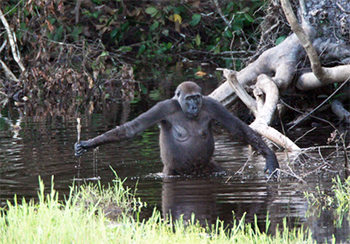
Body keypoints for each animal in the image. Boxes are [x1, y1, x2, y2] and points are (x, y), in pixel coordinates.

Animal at [75, 81, 280, 175]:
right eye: (189, 99)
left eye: (196, 97)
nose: (194, 106)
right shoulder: (162, 107)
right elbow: (131, 129)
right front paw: (89, 144)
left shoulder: (212, 105)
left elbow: (239, 128)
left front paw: (270, 157)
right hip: (171, 172)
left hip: (207, 168)